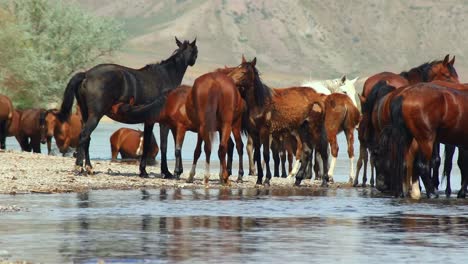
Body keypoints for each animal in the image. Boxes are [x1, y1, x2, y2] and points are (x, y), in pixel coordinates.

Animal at [55, 37, 197, 176]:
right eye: (195, 50)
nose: (194, 60)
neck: (166, 76)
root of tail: (86, 74)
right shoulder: (163, 123)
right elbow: (165, 145)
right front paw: (166, 172)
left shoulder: (149, 121)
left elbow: (147, 144)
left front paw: (143, 170)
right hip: (95, 116)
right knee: (84, 136)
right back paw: (79, 166)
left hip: (85, 114)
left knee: (87, 139)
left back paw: (89, 167)